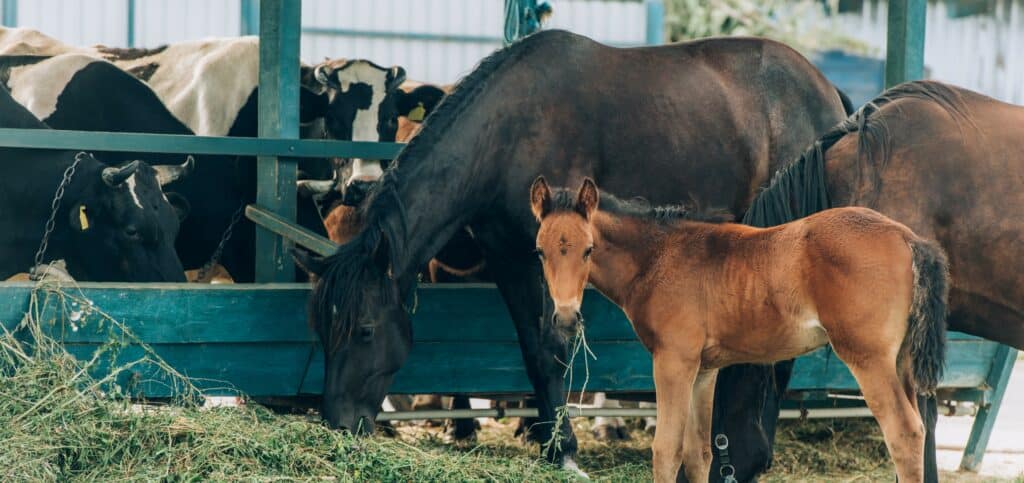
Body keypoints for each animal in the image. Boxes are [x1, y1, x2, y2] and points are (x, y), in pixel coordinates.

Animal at [294, 31, 847, 474]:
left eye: (366, 330)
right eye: (320, 329)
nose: (337, 423)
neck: (510, 130)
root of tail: (826, 90)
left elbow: (556, 347)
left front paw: (564, 448)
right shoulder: (511, 256)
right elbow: (535, 350)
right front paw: (548, 440)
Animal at [532, 178, 946, 483]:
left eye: (588, 249)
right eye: (539, 251)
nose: (566, 318)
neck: (660, 257)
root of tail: (908, 237)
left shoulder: (673, 361)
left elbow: (666, 451)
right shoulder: (704, 370)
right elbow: (698, 453)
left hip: (868, 358)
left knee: (905, 433)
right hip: (901, 362)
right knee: (921, 429)